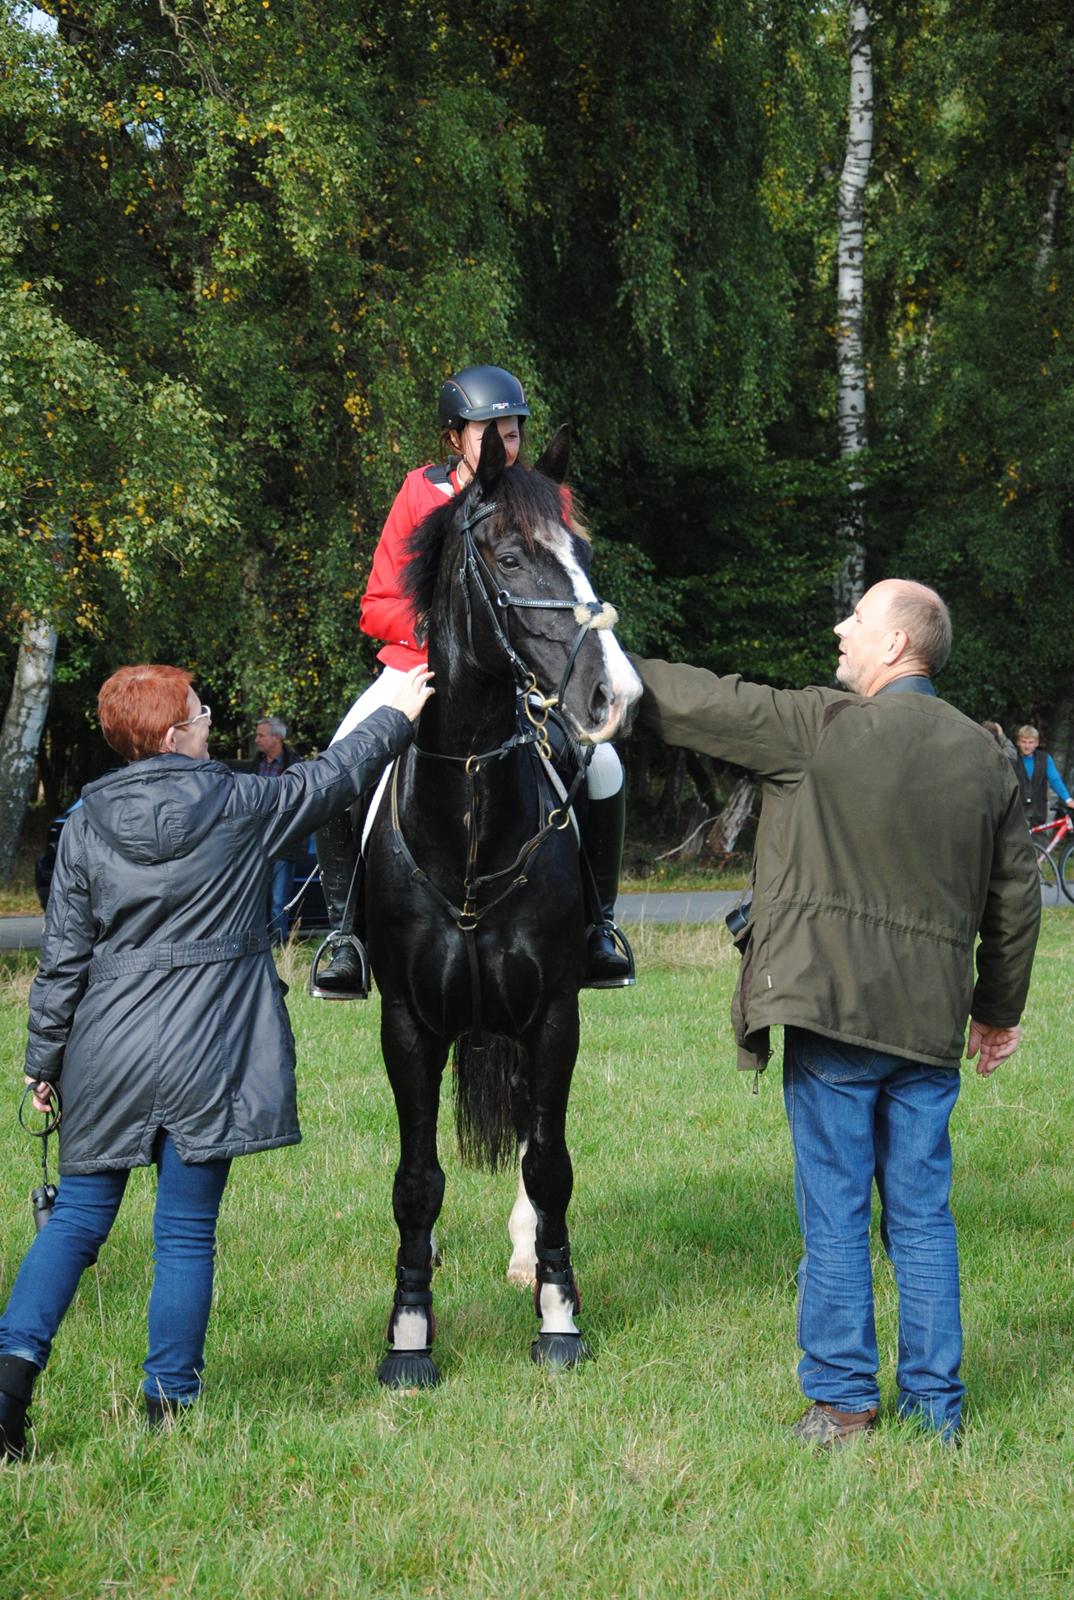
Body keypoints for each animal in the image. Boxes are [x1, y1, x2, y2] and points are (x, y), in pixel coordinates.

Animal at [364, 422, 643, 1388]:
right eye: (512, 555)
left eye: (584, 553)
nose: (615, 697)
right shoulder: (407, 1022)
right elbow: (415, 1181)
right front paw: (409, 1333)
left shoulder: (553, 1012)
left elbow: (550, 1162)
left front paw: (558, 1315)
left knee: (529, 1132)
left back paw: (528, 1256)